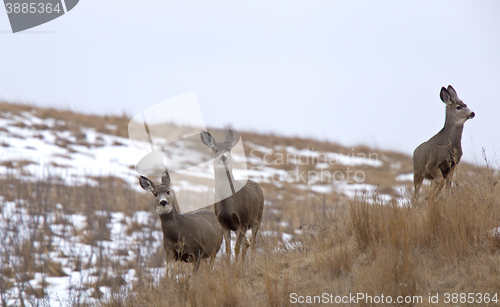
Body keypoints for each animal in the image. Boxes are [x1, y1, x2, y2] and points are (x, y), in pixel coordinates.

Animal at [200, 130, 266, 262]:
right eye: (215, 149)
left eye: (229, 149)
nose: (224, 157)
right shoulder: (224, 223)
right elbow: (228, 250)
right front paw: (231, 265)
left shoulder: (243, 220)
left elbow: (236, 248)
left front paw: (235, 267)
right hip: (236, 227)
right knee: (247, 243)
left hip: (257, 218)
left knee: (253, 245)